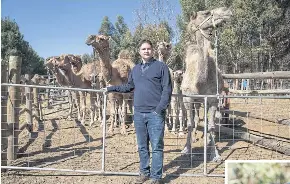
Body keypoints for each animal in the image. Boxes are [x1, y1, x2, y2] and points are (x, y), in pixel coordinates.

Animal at [180, 6, 232, 162]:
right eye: (206, 13)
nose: (227, 11)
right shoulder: (188, 98)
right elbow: (190, 124)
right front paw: (186, 149)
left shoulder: (213, 99)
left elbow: (212, 126)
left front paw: (215, 154)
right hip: (196, 102)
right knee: (196, 118)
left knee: (209, 121)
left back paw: (208, 141)